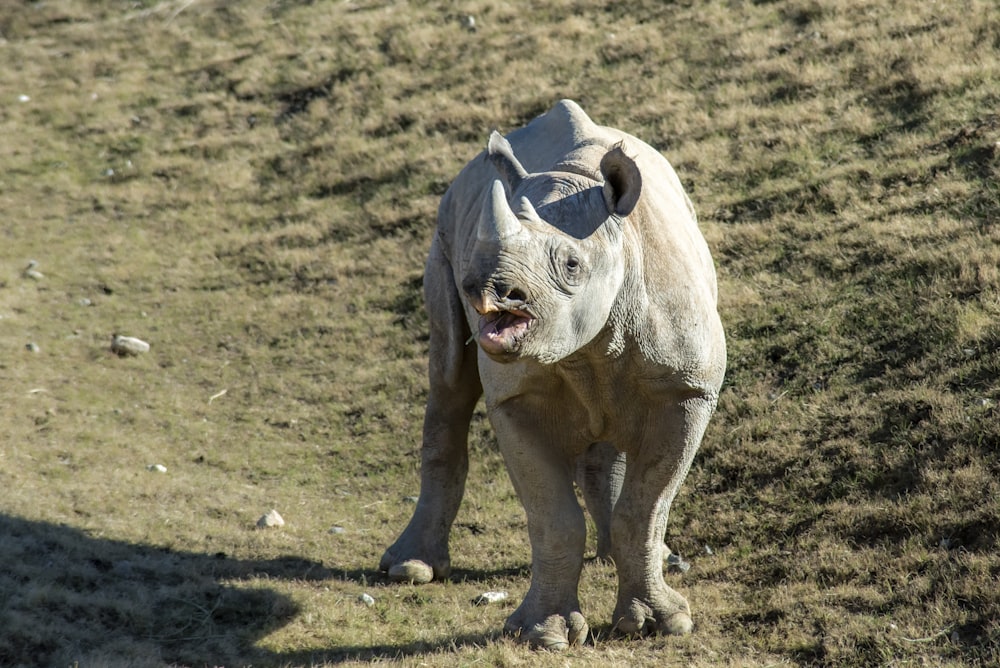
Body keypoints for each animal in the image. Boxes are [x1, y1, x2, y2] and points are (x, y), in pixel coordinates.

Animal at [378, 99, 724, 648]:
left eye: (571, 264)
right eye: (479, 262)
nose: (485, 288)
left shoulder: (686, 390)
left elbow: (645, 509)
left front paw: (660, 625)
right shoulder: (515, 400)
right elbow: (553, 518)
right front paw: (542, 634)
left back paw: (644, 559)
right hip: (444, 227)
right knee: (449, 378)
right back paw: (410, 569)